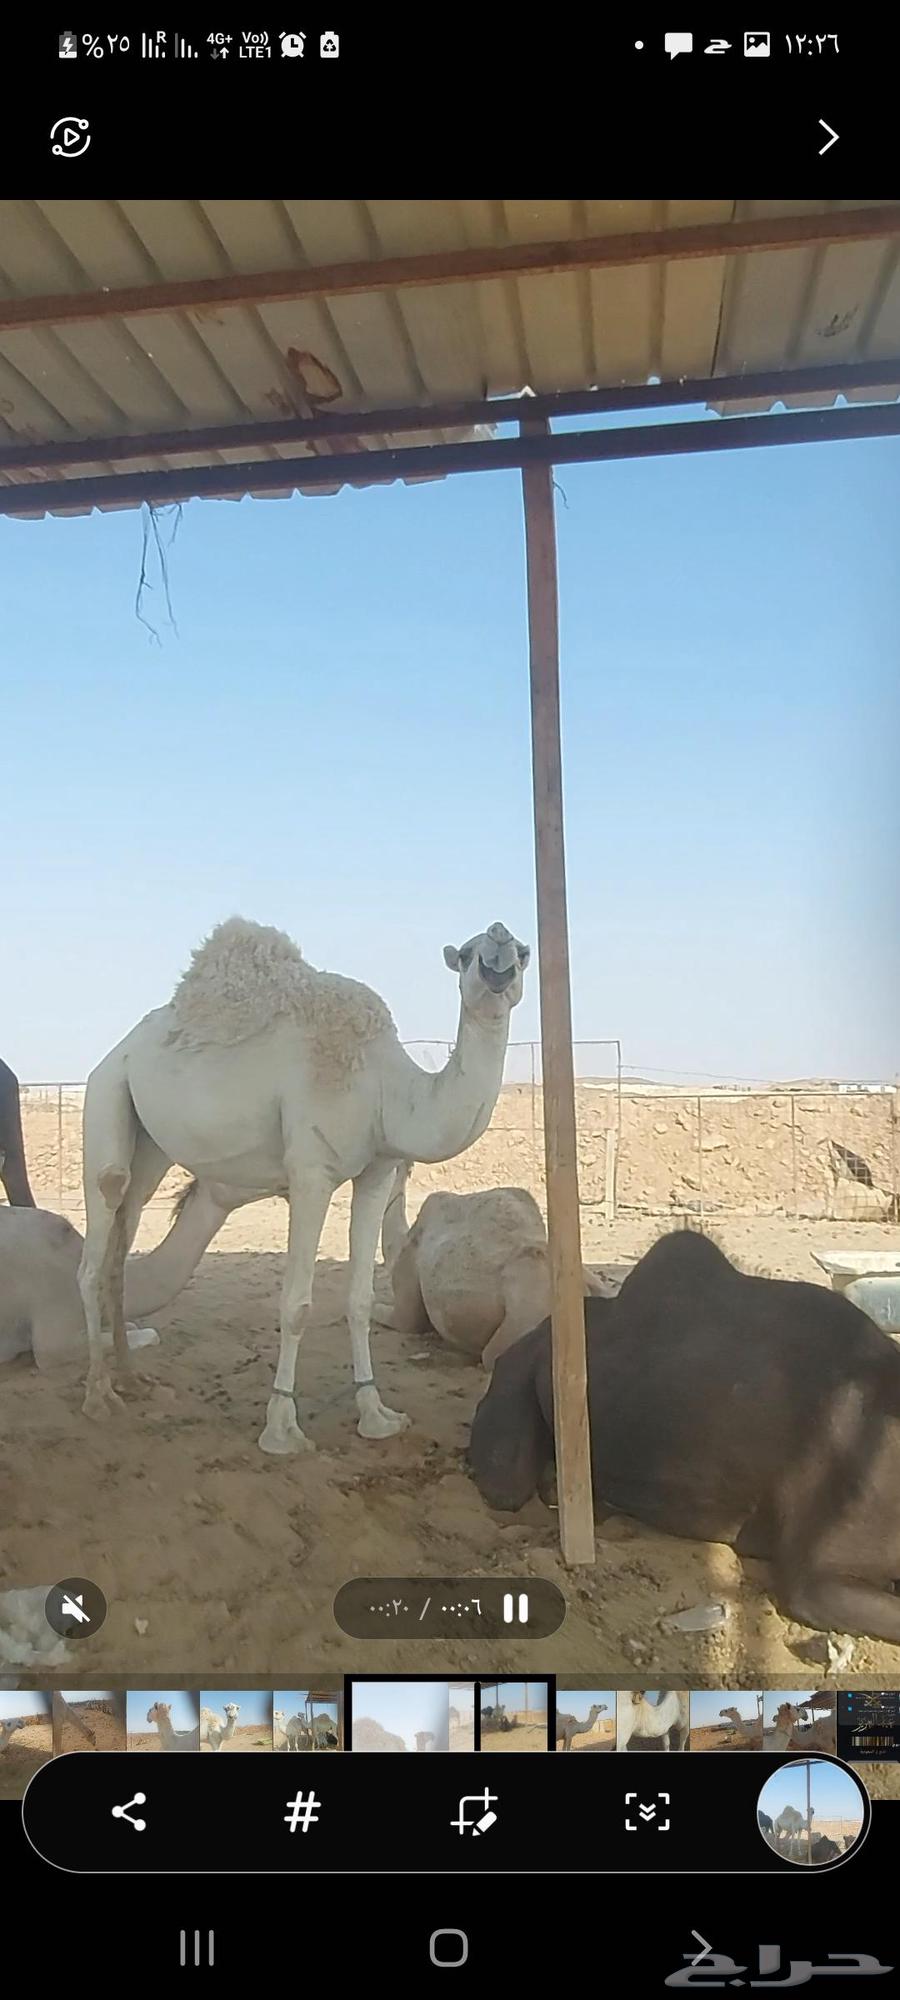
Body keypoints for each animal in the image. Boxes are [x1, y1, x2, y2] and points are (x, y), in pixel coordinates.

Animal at [76, 916, 529, 1451]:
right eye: (465, 954)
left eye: (524, 952)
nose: (498, 938)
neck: (387, 1087)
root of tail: (117, 1053)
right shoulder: (311, 1171)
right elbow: (296, 1305)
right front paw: (282, 1430)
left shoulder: (378, 1170)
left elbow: (359, 1300)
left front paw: (376, 1415)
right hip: (105, 1096)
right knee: (98, 1227)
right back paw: (98, 1397)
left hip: (149, 1146)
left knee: (122, 1240)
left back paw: (131, 1379)